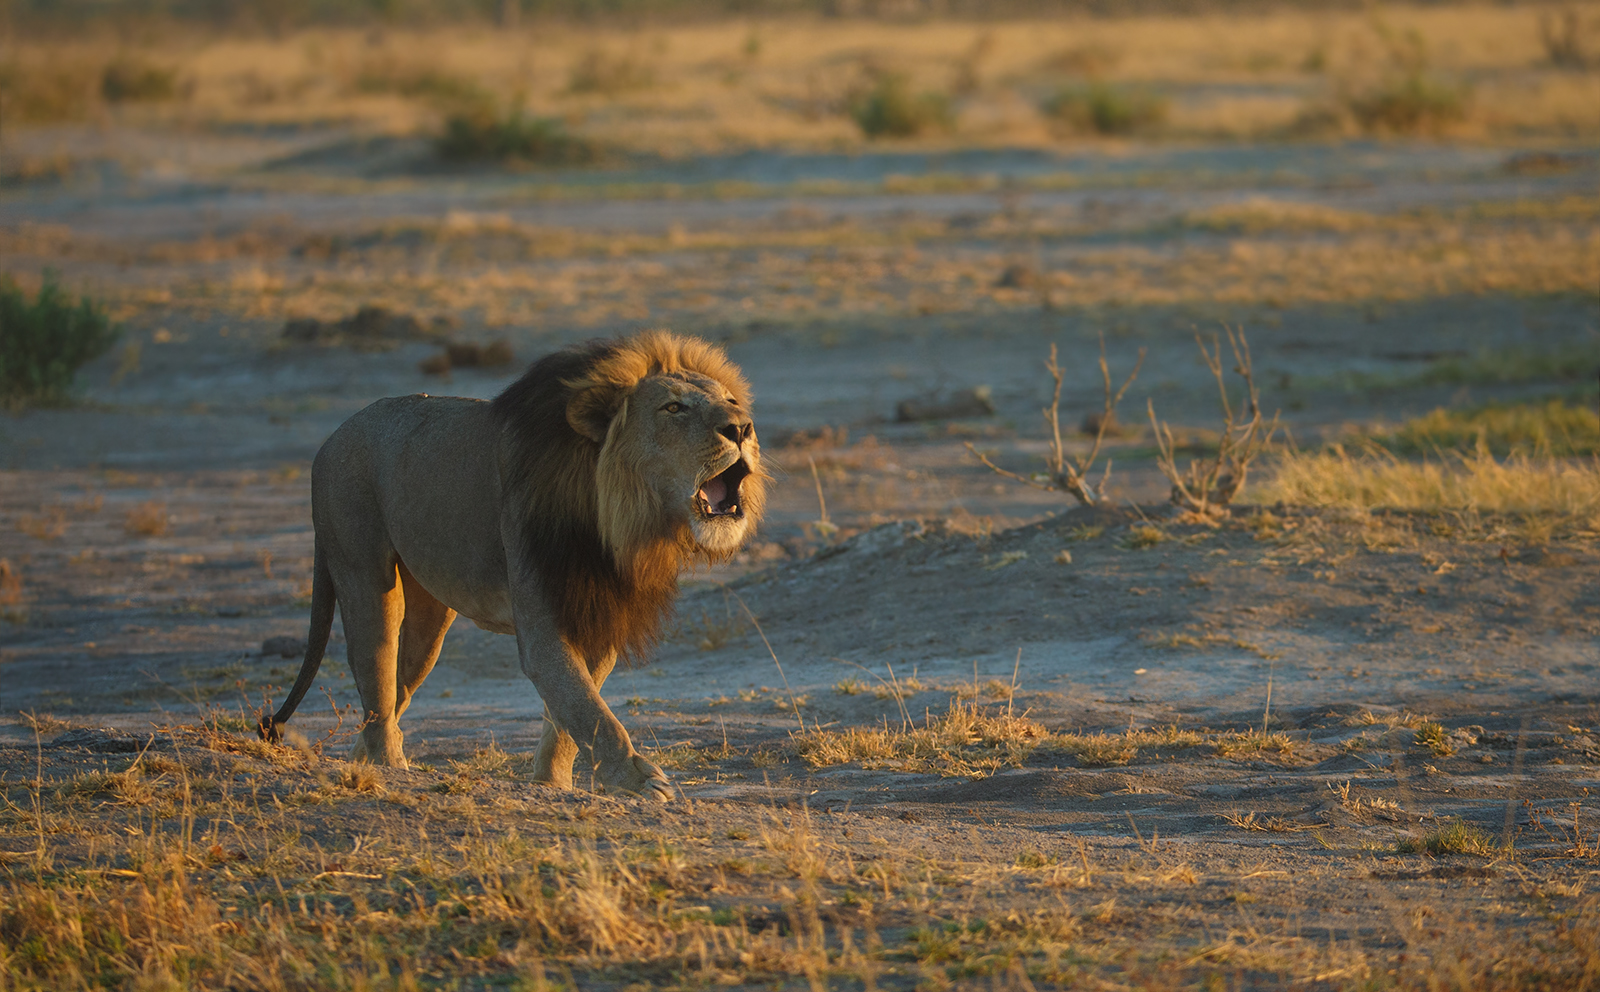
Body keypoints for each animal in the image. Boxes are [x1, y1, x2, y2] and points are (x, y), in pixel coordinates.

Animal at [258, 331, 766, 799]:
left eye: (730, 401)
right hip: (364, 573)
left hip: (429, 620)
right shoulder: (545, 617)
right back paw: (389, 769)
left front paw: (552, 783)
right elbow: (588, 709)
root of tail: (330, 439)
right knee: (376, 680)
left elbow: (570, 710)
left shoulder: (596, 611)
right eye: (673, 408)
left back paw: (365, 761)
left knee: (393, 693)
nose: (742, 427)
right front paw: (637, 779)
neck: (617, 518)